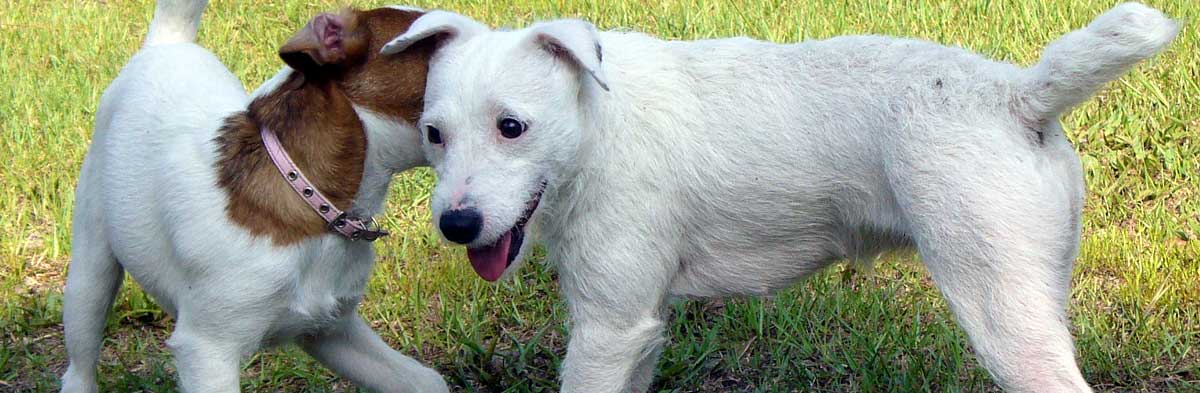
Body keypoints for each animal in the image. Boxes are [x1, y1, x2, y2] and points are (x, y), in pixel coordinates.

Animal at [60, 1, 448, 390]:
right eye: (430, 42)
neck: (307, 195)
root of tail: (165, 45)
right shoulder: (208, 352)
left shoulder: (331, 330)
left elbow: (426, 381)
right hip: (90, 275)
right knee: (79, 363)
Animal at [384, 2, 1180, 390]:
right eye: (433, 134)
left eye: (511, 127)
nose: (457, 224)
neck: (598, 120)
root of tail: (1019, 96)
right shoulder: (636, 328)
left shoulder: (607, 332)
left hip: (1007, 324)